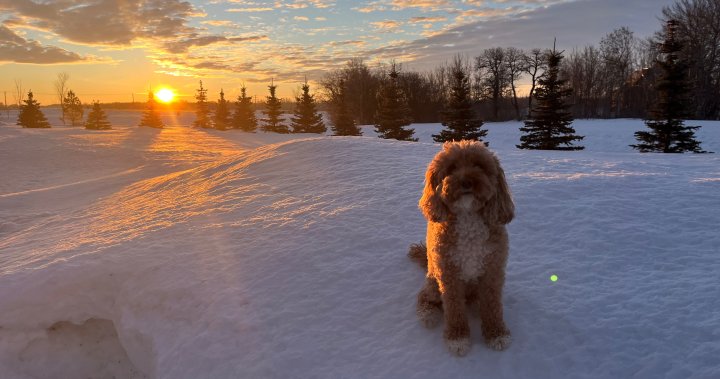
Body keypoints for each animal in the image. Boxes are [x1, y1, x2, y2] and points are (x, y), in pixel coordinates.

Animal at [410, 140, 512, 356]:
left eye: (479, 165)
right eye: (451, 168)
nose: (466, 181)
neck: (468, 216)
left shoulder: (492, 270)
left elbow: (492, 306)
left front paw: (496, 333)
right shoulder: (449, 274)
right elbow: (454, 308)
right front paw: (457, 338)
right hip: (433, 281)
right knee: (423, 297)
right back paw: (427, 314)